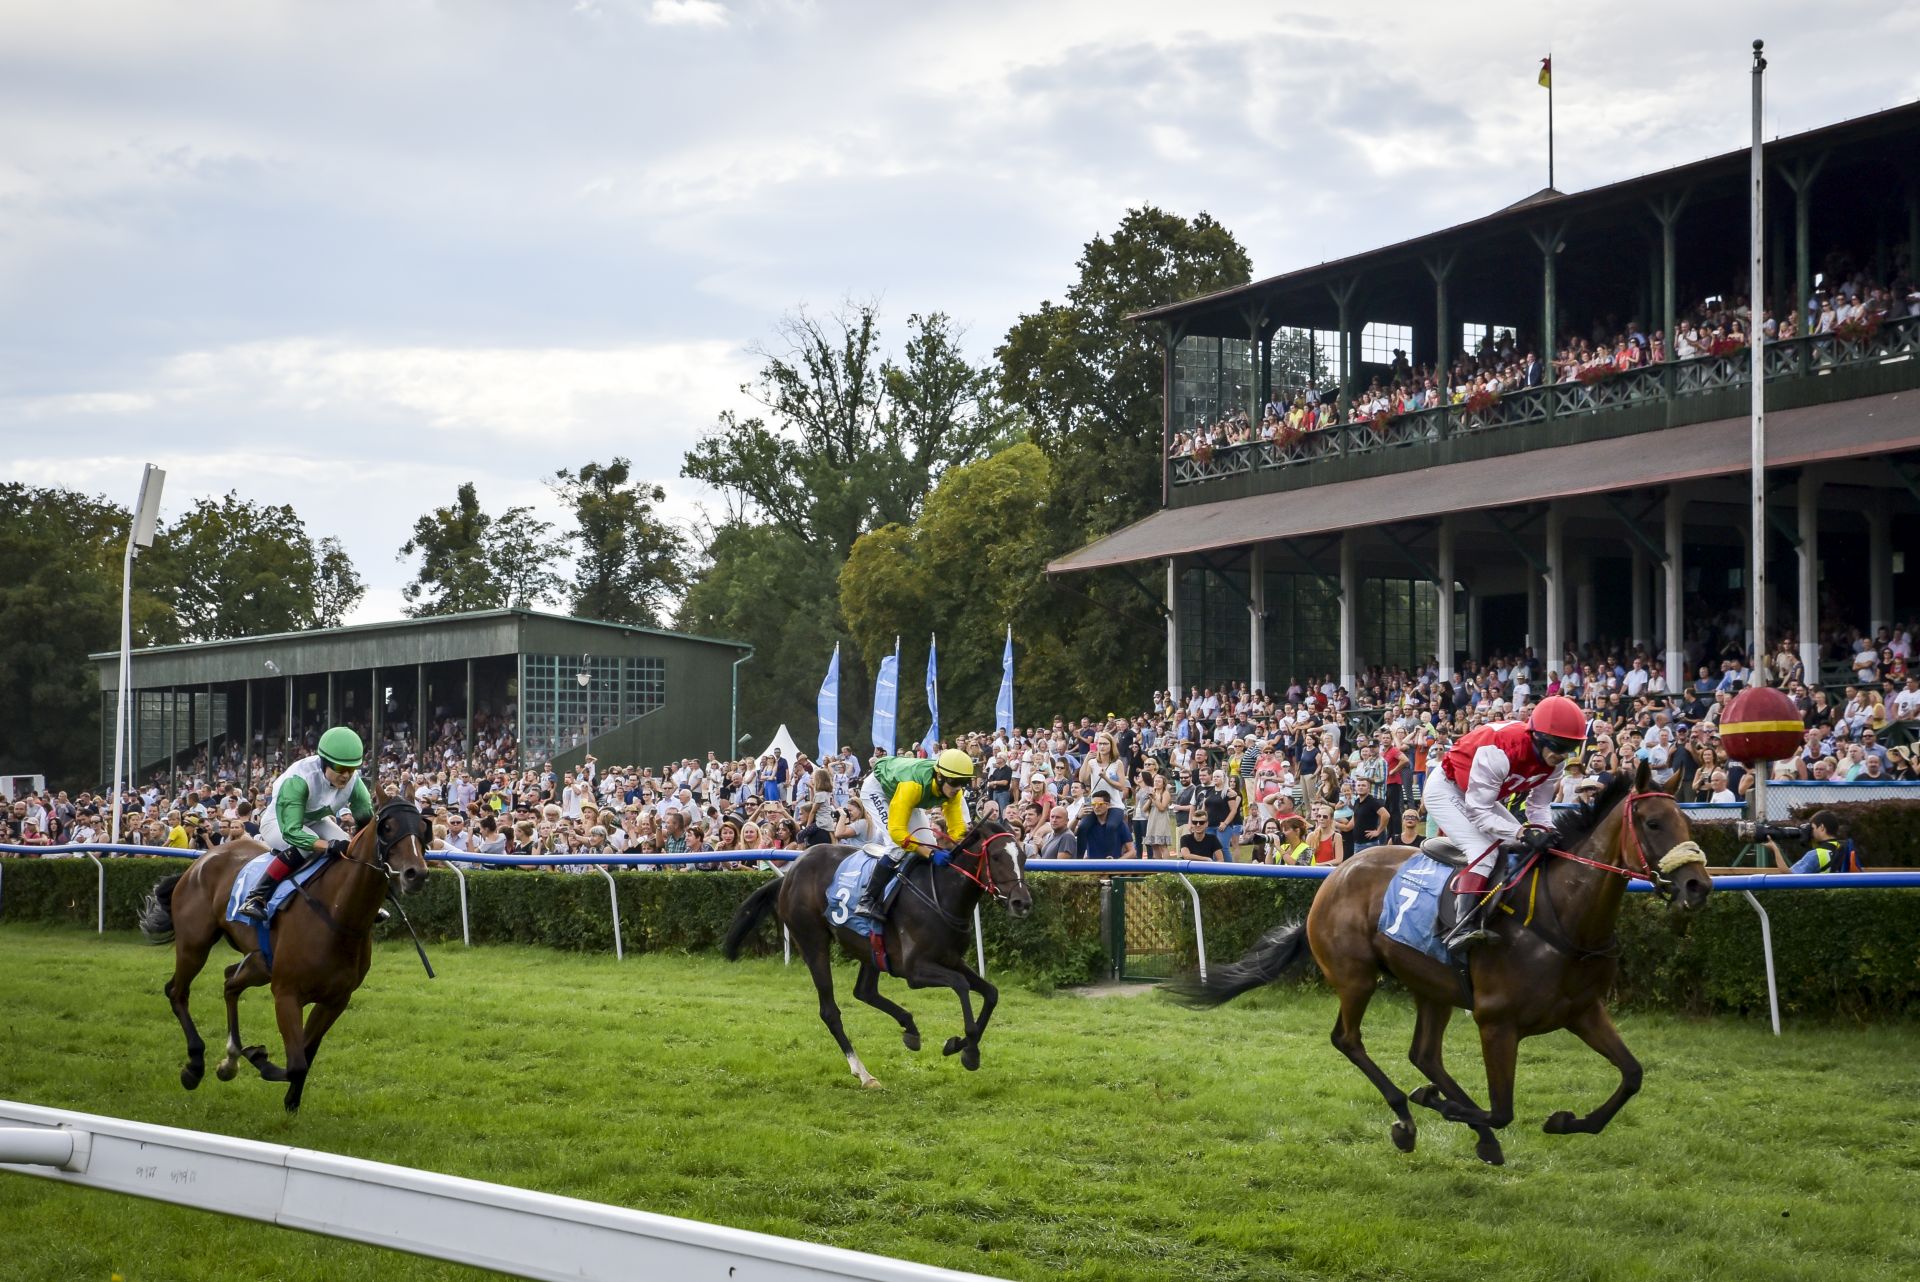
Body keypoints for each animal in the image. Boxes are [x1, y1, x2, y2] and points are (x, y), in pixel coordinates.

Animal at [137, 783, 430, 1113]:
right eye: (388, 827)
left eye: (423, 827)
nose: (416, 874)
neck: (339, 914)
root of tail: (201, 861)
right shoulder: (286, 993)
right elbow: (296, 1063)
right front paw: (258, 1057)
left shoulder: (335, 1000)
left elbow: (306, 1054)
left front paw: (289, 1097)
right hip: (195, 945)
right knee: (177, 991)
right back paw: (195, 1065)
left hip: (259, 963)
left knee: (229, 981)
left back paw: (230, 1059)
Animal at [721, 817, 1029, 1090]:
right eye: (997, 857)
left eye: (1024, 857)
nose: (1022, 903)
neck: (941, 894)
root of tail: (792, 871)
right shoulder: (914, 970)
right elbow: (962, 985)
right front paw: (969, 1051)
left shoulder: (950, 959)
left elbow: (991, 993)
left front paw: (958, 1045)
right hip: (812, 941)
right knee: (830, 1011)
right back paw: (864, 1073)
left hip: (870, 947)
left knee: (864, 991)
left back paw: (910, 1029)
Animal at [1175, 767, 1720, 1166]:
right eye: (1653, 824)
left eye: (1688, 823)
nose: (1697, 886)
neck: (1561, 918)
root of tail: (1336, 873)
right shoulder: (1497, 1022)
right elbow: (1502, 1110)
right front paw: (1435, 1104)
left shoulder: (1583, 1011)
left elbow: (1632, 1075)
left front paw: (1565, 1121)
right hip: (1356, 976)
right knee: (1349, 1040)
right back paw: (1406, 1115)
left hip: (1432, 986)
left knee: (1424, 1054)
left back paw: (1464, 1129)